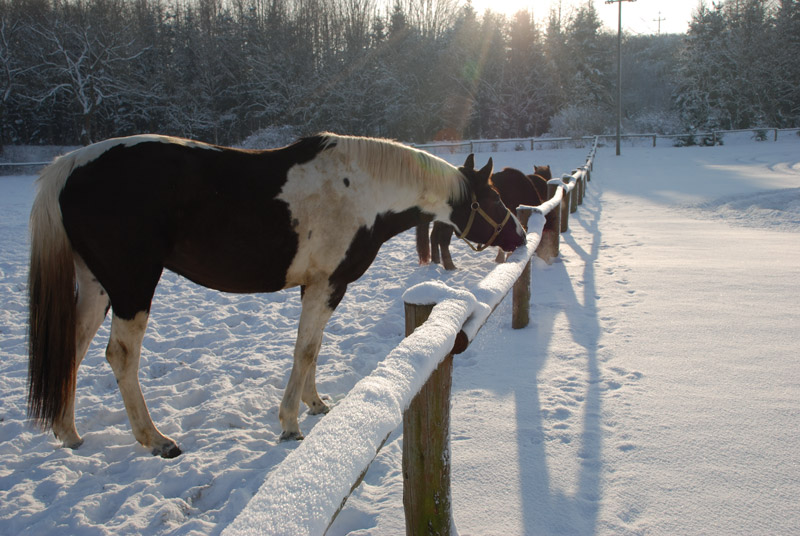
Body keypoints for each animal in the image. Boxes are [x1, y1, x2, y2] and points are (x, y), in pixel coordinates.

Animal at [26, 134, 524, 456]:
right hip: (132, 286)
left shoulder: (319, 286)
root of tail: (69, 166)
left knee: (72, 348)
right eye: (495, 200)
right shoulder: (327, 285)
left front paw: (316, 404)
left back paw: (68, 433)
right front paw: (290, 424)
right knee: (121, 356)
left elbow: (314, 348)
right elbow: (305, 350)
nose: (519, 236)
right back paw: (157, 440)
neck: (363, 190)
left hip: (98, 287)